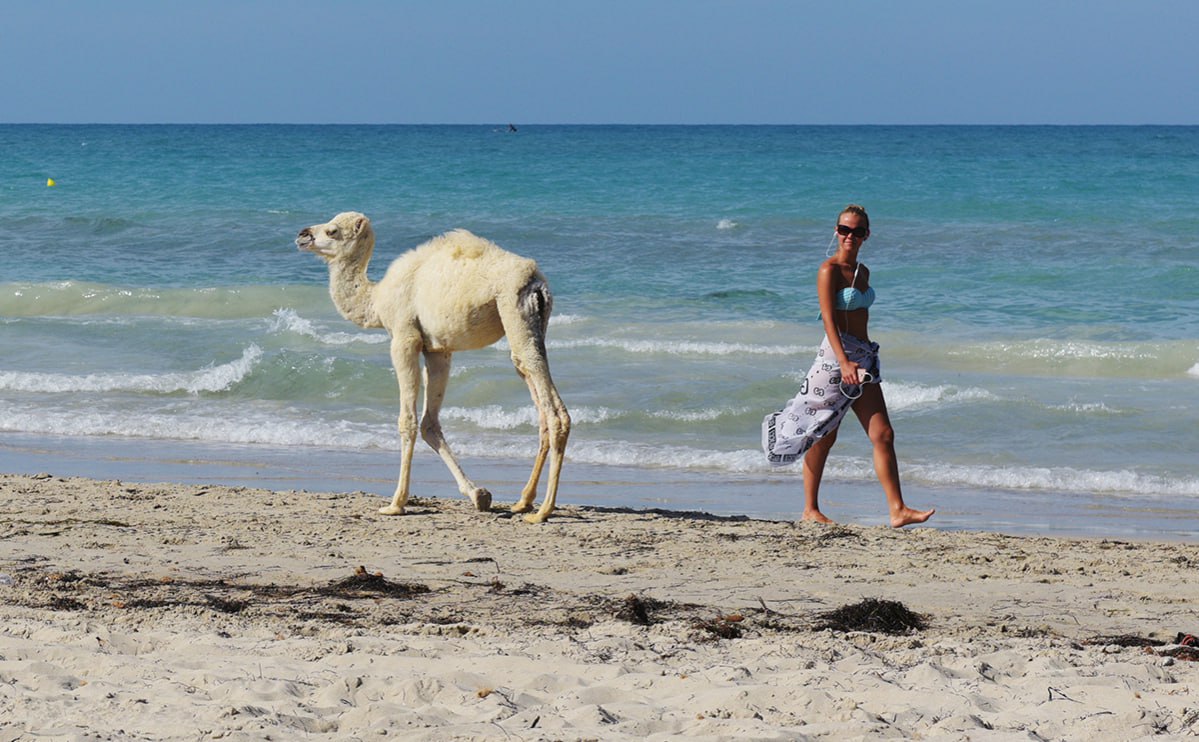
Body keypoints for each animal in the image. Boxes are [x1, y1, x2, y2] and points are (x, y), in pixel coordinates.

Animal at [292, 210, 568, 522]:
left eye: (333, 231)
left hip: (513, 307)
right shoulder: (437, 349)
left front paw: (396, 503)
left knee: (551, 407)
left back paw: (542, 511)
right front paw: (479, 495)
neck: (377, 299)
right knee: (532, 385)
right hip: (531, 322)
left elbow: (408, 421)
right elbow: (429, 424)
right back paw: (523, 502)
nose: (303, 235)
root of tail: (536, 281)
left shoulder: (404, 338)